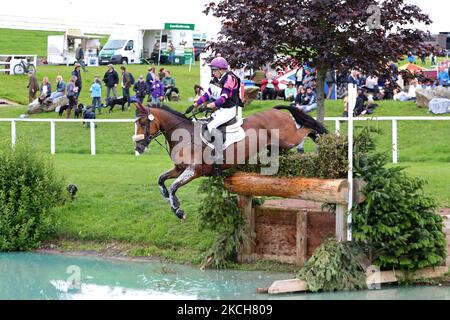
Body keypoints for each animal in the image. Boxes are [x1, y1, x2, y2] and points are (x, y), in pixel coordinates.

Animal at [132, 102, 326, 220]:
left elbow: (173, 186)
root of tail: (276, 111)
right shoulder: (179, 169)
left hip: (289, 139)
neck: (184, 135)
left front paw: (178, 210)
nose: (138, 147)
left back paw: (321, 137)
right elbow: (161, 180)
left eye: (143, 123)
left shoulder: (194, 171)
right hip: (279, 145)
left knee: (306, 128)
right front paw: (168, 198)